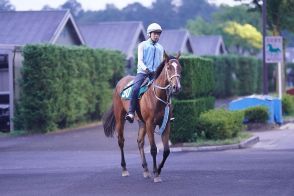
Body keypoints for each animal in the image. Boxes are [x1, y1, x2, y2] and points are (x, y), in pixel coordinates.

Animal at [103, 51, 181, 182]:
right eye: (169, 68)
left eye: (180, 67)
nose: (177, 87)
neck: (157, 97)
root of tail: (120, 82)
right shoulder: (150, 124)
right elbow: (153, 149)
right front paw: (156, 174)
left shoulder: (165, 124)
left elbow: (166, 151)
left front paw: (158, 170)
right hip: (120, 119)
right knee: (121, 141)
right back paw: (124, 169)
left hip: (142, 123)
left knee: (140, 142)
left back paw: (145, 169)